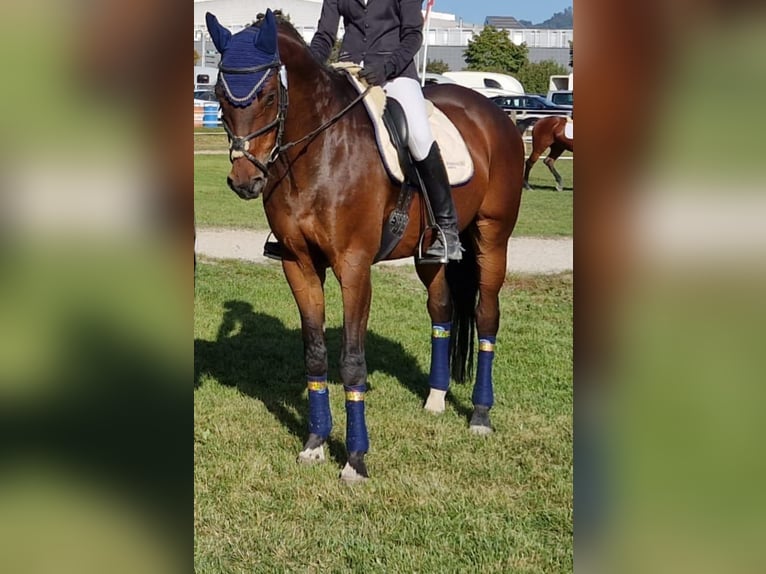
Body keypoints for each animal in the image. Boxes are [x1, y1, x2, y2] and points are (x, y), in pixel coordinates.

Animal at [207, 11, 524, 484]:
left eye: (267, 95)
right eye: (219, 95)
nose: (244, 181)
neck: (319, 150)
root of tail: (493, 112)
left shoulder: (353, 267)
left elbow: (352, 360)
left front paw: (355, 459)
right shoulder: (299, 265)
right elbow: (315, 354)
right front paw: (315, 443)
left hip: (493, 236)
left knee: (487, 314)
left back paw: (480, 415)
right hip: (428, 254)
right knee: (442, 309)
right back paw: (435, 399)